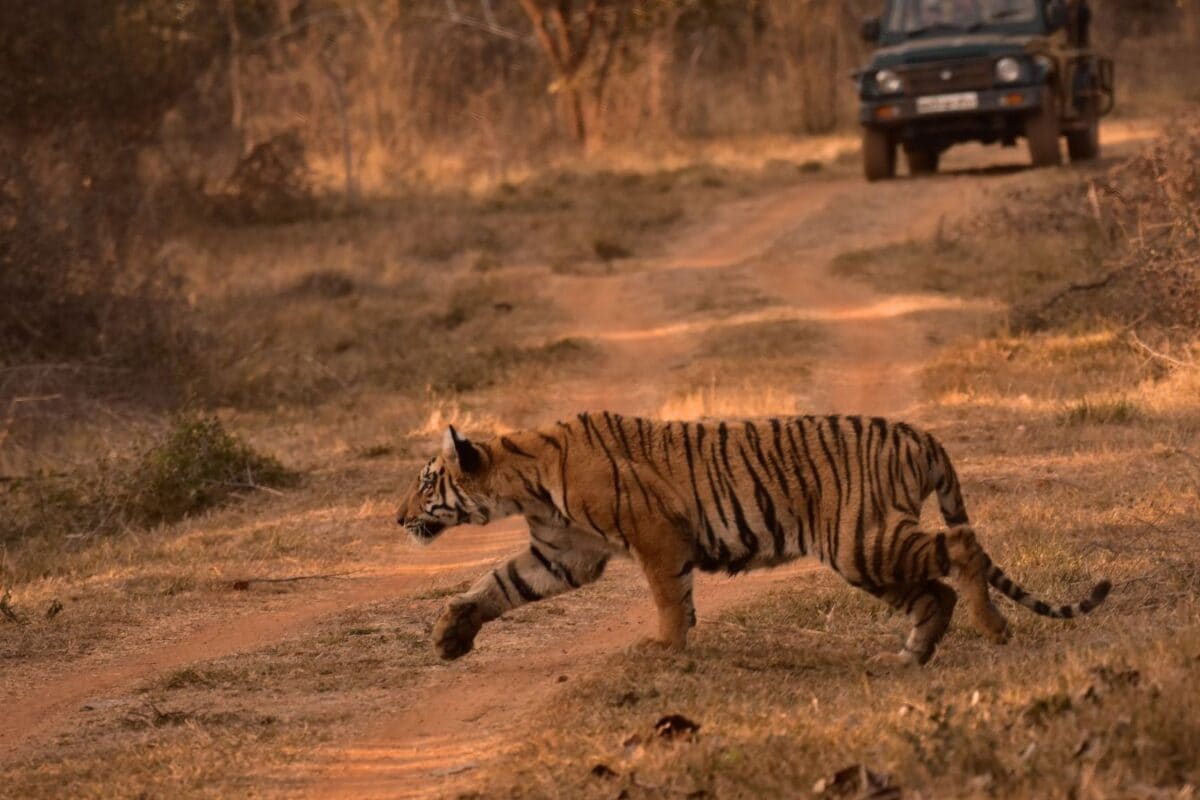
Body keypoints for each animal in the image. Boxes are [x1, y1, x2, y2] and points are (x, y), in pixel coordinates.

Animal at [395, 413, 1110, 666]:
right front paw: (450, 635)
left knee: (961, 553)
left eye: (425, 482)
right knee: (935, 591)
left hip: (860, 539)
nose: (396, 519)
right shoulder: (564, 554)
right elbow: (498, 584)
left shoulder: (654, 535)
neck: (521, 482)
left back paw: (993, 629)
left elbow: (667, 596)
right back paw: (912, 654)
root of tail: (920, 434)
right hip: (867, 554)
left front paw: (665, 647)